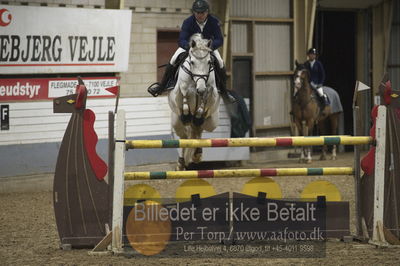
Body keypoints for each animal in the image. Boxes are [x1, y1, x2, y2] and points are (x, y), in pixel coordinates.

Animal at [167, 33, 220, 170]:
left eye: (209, 62)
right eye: (192, 62)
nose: (200, 89)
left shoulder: (210, 92)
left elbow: (205, 99)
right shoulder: (180, 91)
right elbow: (184, 93)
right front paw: (186, 114)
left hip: (211, 122)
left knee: (198, 130)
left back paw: (197, 154)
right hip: (176, 121)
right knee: (184, 137)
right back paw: (181, 162)